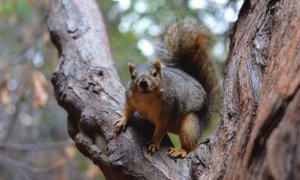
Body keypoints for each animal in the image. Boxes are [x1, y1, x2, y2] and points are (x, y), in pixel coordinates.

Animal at [115, 17, 220, 158]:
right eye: (132, 76)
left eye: (154, 74)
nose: (143, 83)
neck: (146, 97)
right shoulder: (130, 98)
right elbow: (128, 109)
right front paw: (123, 120)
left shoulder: (167, 112)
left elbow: (160, 129)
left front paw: (154, 142)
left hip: (190, 123)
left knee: (190, 143)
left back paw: (181, 150)